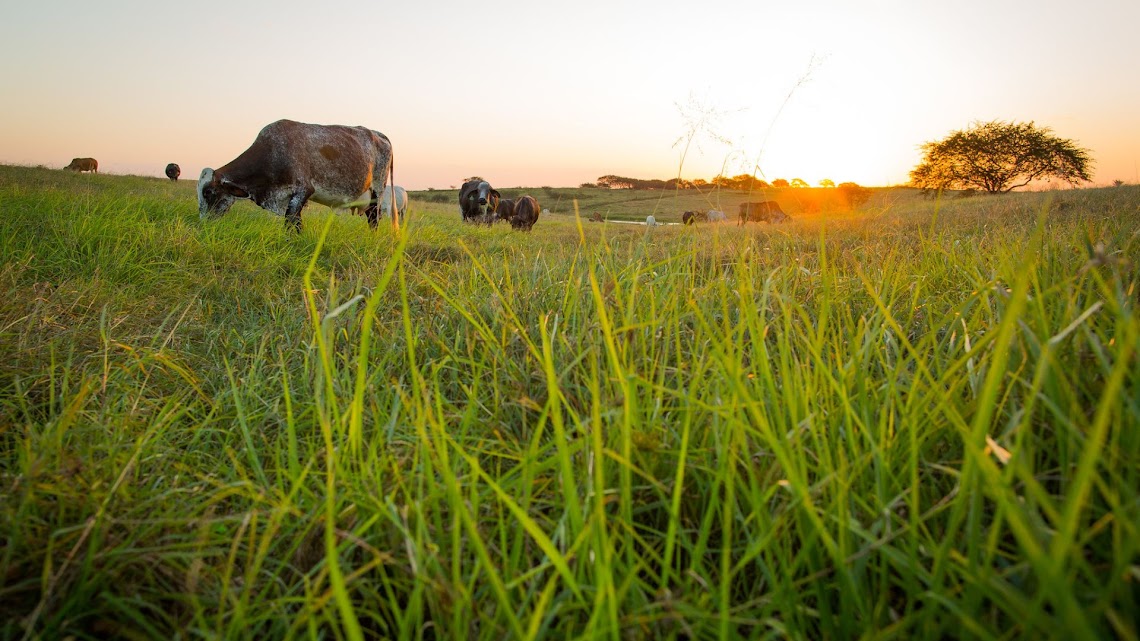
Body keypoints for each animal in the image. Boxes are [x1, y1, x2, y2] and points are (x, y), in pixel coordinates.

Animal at [202, 118, 399, 230]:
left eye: (207, 192)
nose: (203, 223)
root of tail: (377, 133)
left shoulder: (303, 190)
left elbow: (291, 223)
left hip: (377, 191)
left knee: (374, 218)